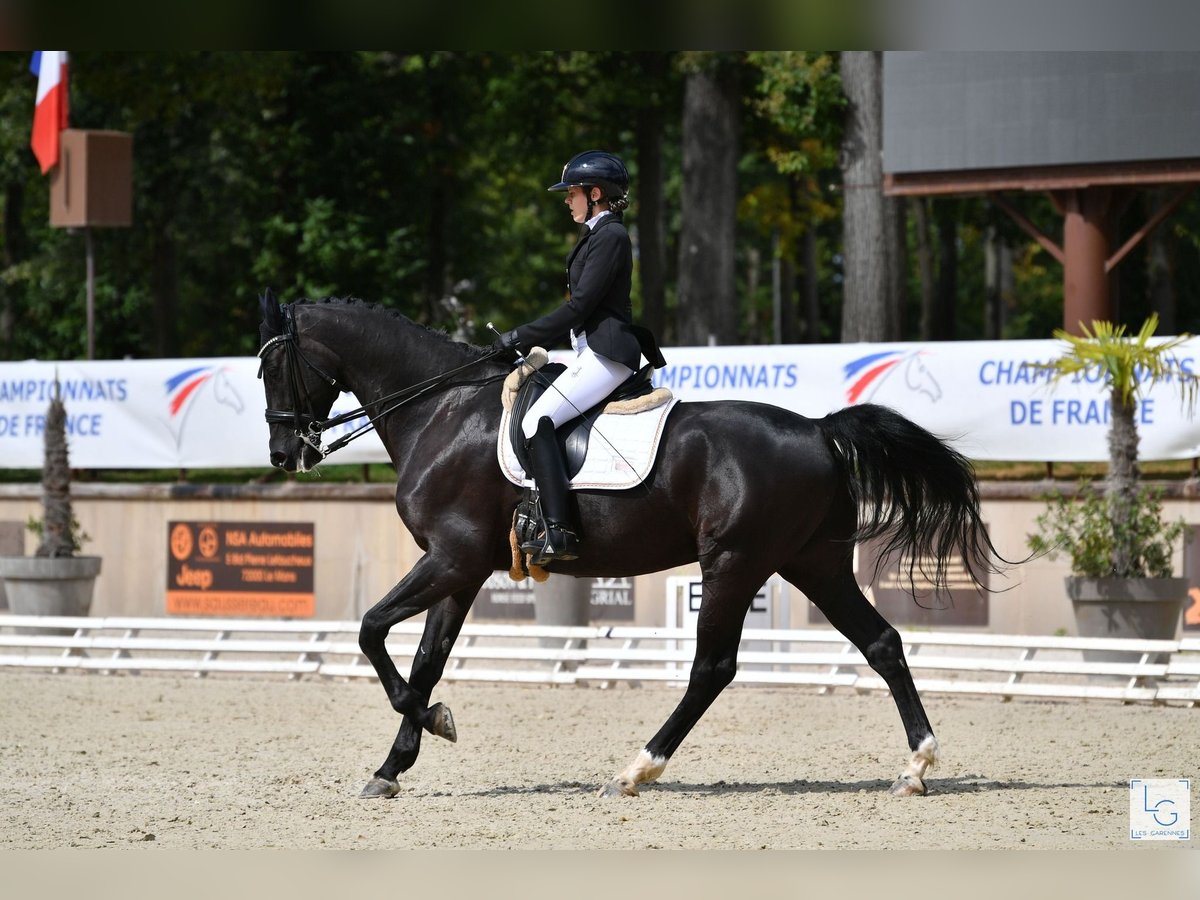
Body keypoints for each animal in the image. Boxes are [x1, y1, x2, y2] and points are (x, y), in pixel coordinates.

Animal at [257, 293, 1007, 800]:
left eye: (271, 369)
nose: (285, 454)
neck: (440, 408)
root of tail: (819, 429)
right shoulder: (462, 570)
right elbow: (424, 661)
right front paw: (394, 765)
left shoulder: (451, 557)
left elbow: (371, 630)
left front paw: (434, 724)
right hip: (812, 562)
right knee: (881, 643)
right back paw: (916, 766)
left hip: (734, 563)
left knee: (713, 668)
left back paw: (637, 769)